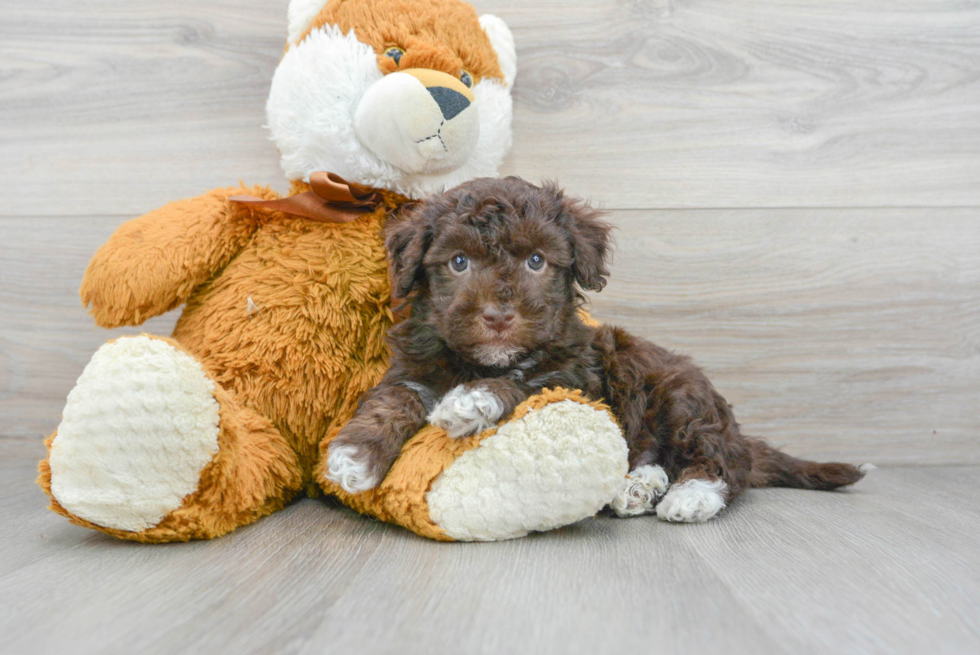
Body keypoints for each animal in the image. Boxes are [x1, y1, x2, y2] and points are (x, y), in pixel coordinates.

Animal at [330, 176, 864, 524]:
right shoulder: (412, 367)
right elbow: (393, 399)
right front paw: (354, 456)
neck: (478, 360)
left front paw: (472, 401)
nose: (499, 317)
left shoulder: (575, 376)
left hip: (680, 395)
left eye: (536, 261)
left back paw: (689, 496)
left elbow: (523, 382)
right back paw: (638, 486)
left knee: (721, 460)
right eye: (459, 262)